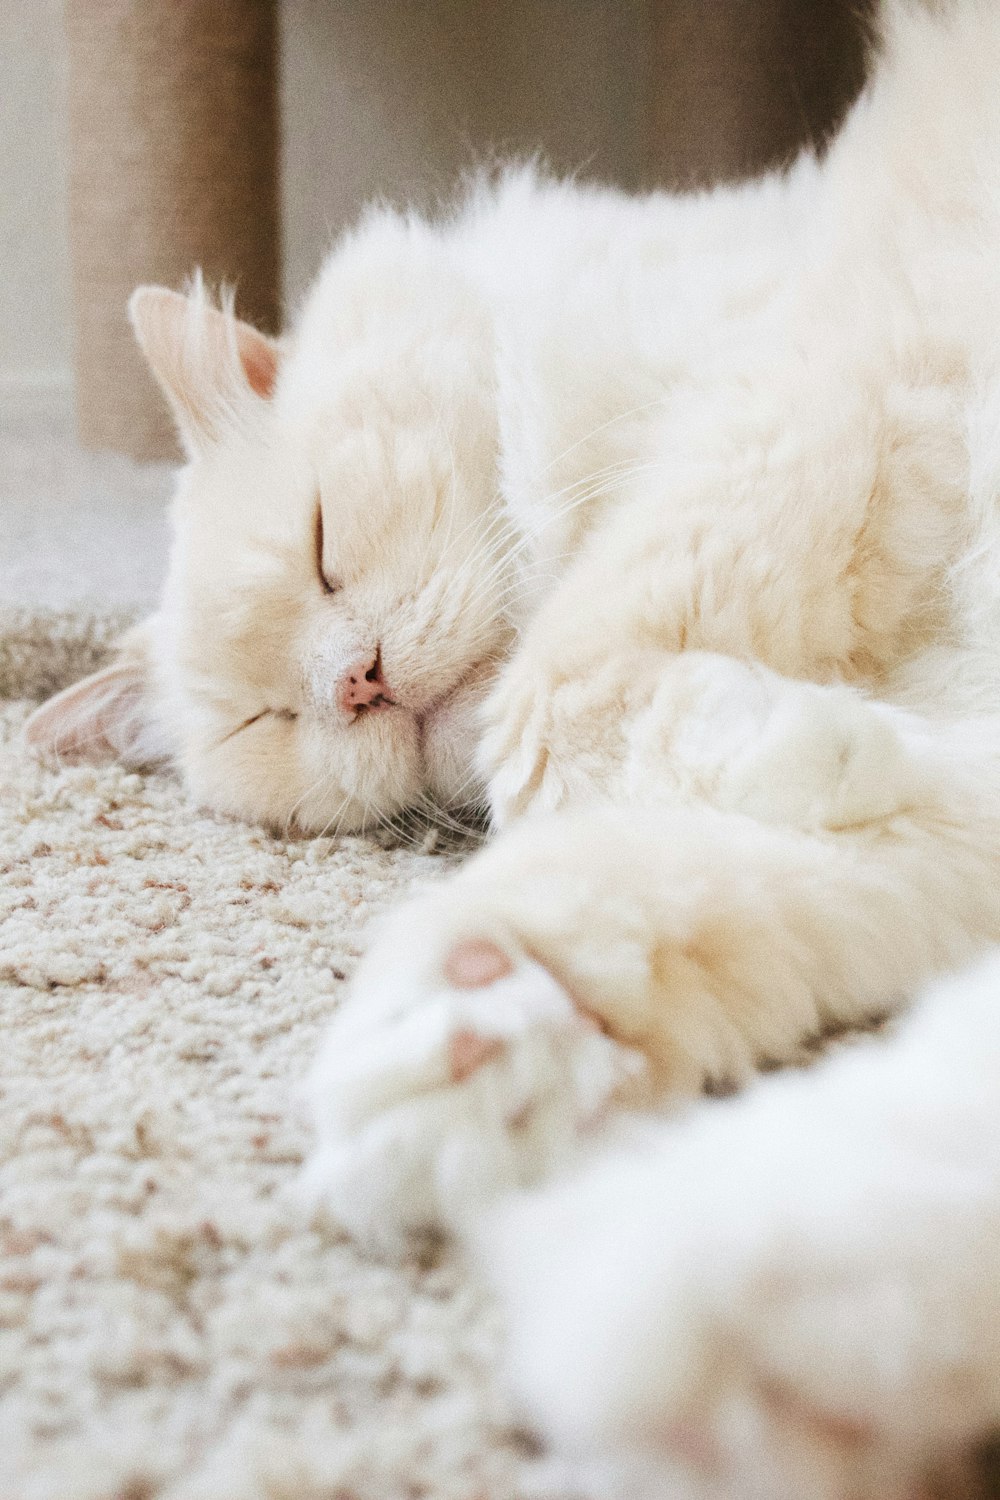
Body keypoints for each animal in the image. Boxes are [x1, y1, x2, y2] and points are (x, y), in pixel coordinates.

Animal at [25, 0, 1000, 1476]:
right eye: (271, 721)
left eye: (323, 546)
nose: (356, 684)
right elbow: (712, 885)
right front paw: (481, 1039)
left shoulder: (820, 386)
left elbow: (563, 721)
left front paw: (791, 738)